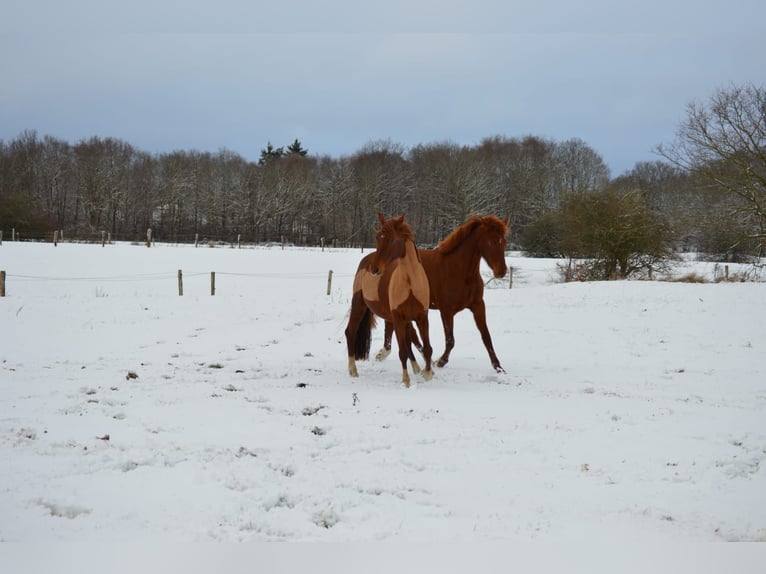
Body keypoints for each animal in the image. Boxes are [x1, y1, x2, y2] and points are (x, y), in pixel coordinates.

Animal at [345, 213, 433, 387]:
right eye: (377, 237)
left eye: (392, 240)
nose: (375, 269)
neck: (411, 284)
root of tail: (366, 260)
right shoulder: (398, 318)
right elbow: (402, 351)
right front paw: (406, 381)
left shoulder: (421, 317)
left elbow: (426, 346)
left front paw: (427, 373)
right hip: (359, 306)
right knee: (350, 332)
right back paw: (353, 370)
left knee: (410, 339)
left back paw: (417, 368)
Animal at [372, 215, 509, 373]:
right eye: (493, 241)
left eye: (504, 241)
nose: (501, 272)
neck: (460, 271)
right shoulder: (446, 311)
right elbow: (450, 340)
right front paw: (440, 361)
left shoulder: (478, 306)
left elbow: (486, 337)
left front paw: (498, 367)